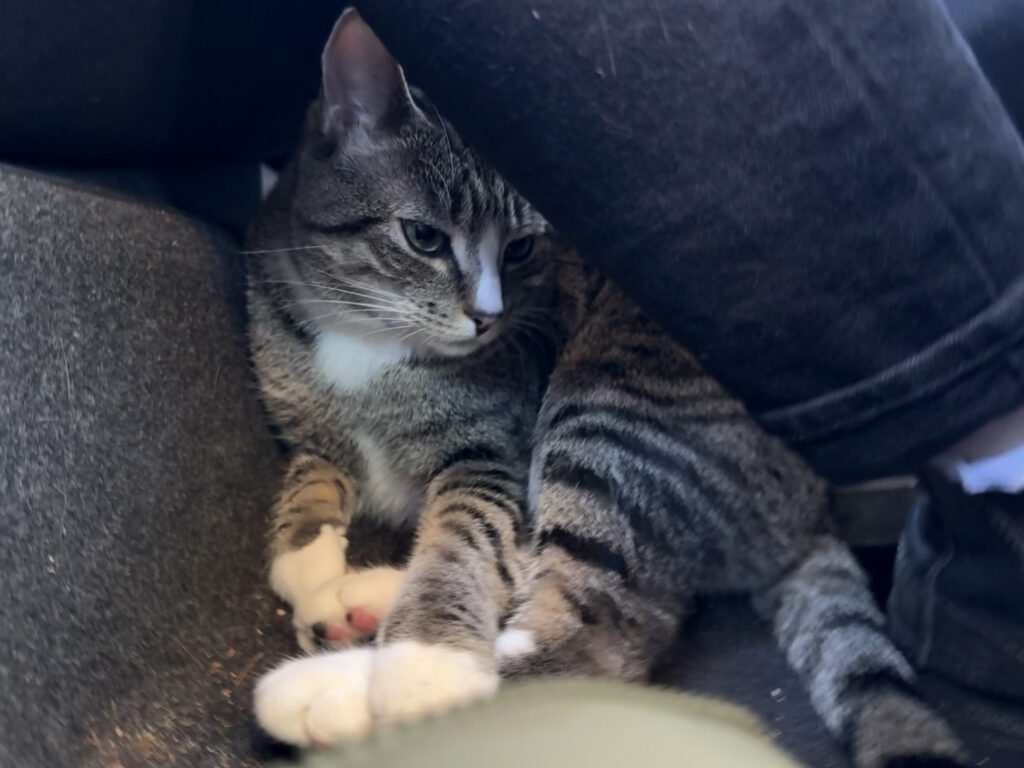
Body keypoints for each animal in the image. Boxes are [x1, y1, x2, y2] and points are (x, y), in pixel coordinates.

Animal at [247, 12, 966, 768]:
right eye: (424, 237)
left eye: (522, 248)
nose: (488, 317)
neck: (367, 341)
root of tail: (816, 504)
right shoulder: (309, 425)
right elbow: (313, 480)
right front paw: (309, 561)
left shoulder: (492, 451)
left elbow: (461, 541)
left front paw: (423, 667)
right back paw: (360, 602)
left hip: (607, 414)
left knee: (597, 634)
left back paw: (340, 692)